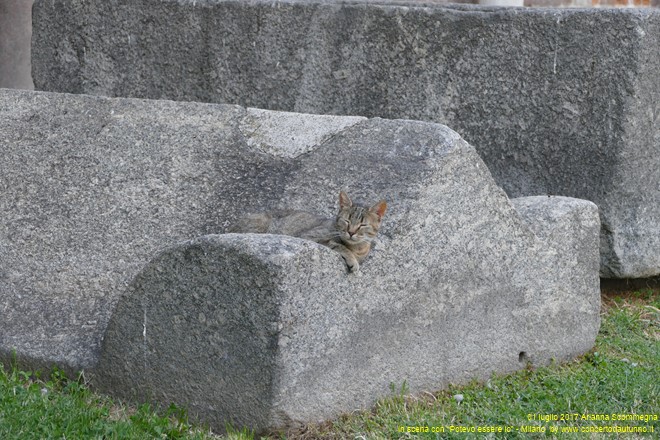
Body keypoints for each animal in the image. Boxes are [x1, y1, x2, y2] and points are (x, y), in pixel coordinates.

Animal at [231, 192, 390, 274]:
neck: (358, 248)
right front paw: (352, 260)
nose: (351, 232)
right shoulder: (310, 237)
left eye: (362, 224)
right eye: (347, 221)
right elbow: (339, 245)